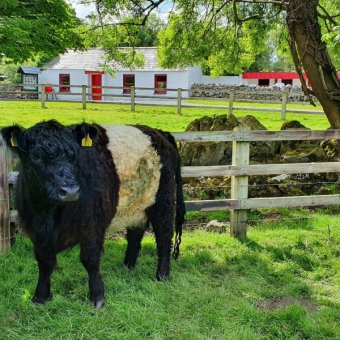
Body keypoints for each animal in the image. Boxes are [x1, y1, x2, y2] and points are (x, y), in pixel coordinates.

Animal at [0, 120, 186, 308]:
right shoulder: (37, 231)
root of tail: (158, 132)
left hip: (163, 201)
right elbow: (44, 262)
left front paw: (97, 297)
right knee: (135, 236)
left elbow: (90, 259)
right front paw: (40, 297)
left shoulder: (92, 226)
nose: (70, 191)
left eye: (75, 156)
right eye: (36, 157)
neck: (49, 215)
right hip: (136, 206)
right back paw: (128, 266)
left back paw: (162, 275)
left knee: (164, 237)